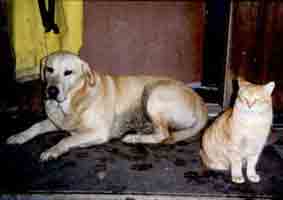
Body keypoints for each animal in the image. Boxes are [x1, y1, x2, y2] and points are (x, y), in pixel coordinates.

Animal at [6, 51, 209, 161]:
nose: (52, 91)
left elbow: (66, 139)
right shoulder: (54, 121)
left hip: (153, 93)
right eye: (49, 69)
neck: (76, 99)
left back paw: (134, 138)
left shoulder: (98, 132)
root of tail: (201, 103)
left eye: (68, 72)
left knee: (163, 135)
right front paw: (18, 136)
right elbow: (34, 126)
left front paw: (53, 151)